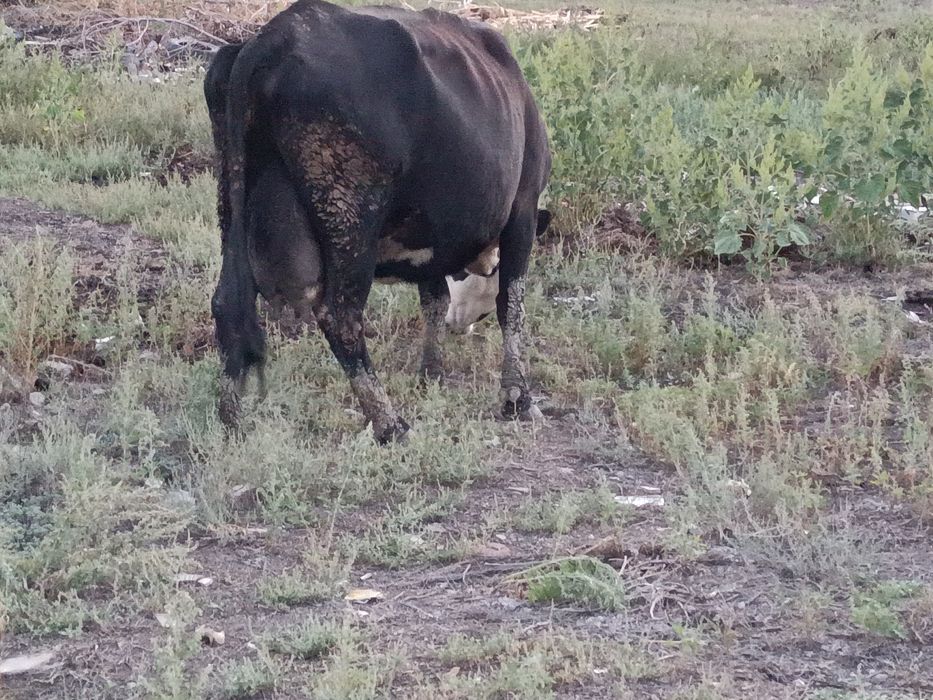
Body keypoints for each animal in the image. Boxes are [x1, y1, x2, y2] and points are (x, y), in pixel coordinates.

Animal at [204, 0, 551, 443]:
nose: (463, 325)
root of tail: (273, 38)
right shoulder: (522, 209)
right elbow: (512, 304)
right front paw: (517, 397)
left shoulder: (429, 238)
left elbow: (434, 300)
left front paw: (431, 373)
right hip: (351, 220)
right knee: (340, 318)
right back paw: (390, 422)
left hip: (231, 201)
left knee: (229, 303)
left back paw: (231, 418)